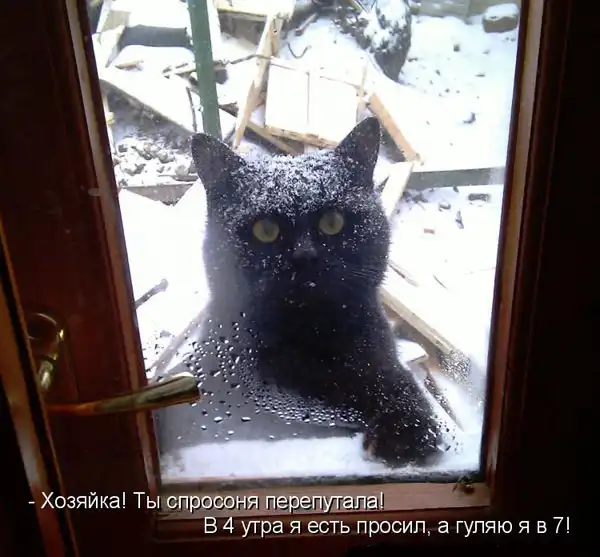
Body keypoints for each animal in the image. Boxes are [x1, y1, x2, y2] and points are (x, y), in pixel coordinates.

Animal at [188, 117, 446, 466]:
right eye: (265, 230)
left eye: (332, 222)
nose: (304, 256)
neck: (311, 340)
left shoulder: (379, 357)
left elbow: (398, 383)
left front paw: (407, 431)